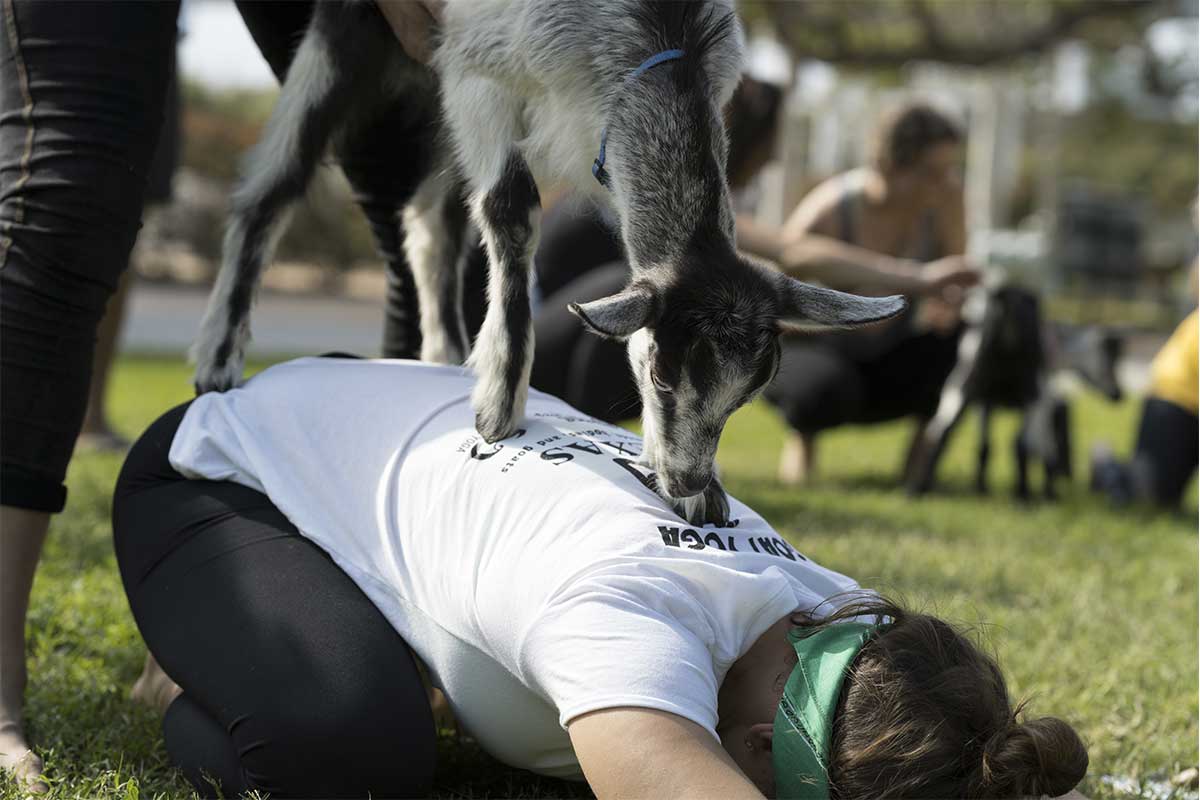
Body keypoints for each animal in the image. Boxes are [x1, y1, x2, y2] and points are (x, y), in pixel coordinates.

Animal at [189, 0, 902, 525]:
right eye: (664, 375)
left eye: (748, 393)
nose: (685, 478)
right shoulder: (481, 70)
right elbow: (511, 206)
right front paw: (499, 406)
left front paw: (702, 494)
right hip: (350, 40)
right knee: (272, 189)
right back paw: (218, 361)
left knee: (430, 223)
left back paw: (444, 355)